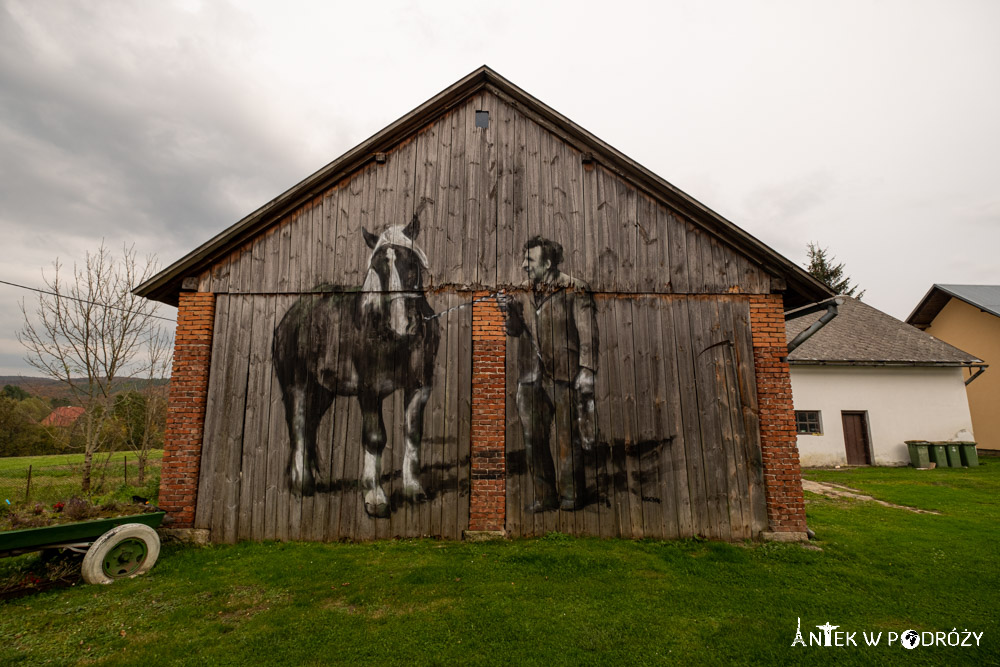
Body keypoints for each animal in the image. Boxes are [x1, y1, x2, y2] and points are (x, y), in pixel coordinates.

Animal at [278, 211, 442, 520]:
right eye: (376, 267)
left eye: (411, 262)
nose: (401, 324)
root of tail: (291, 317)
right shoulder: (369, 390)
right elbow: (375, 437)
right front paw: (375, 497)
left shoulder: (419, 388)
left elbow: (412, 433)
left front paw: (413, 489)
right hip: (296, 384)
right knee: (298, 424)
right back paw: (300, 484)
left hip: (324, 391)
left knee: (311, 426)